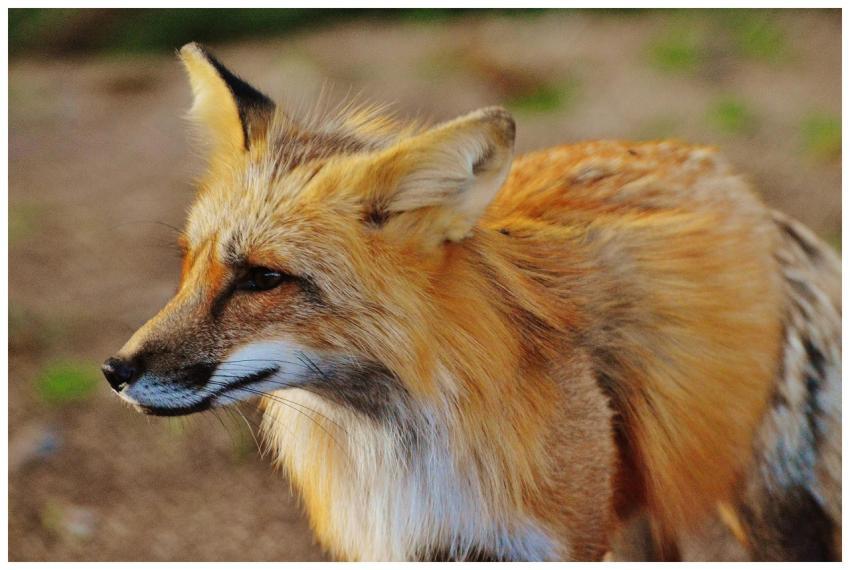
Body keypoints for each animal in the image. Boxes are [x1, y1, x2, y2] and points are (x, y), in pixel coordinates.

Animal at [102, 43, 841, 561]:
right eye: (187, 263)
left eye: (261, 278)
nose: (114, 370)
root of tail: (745, 190)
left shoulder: (553, 544)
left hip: (763, 509)